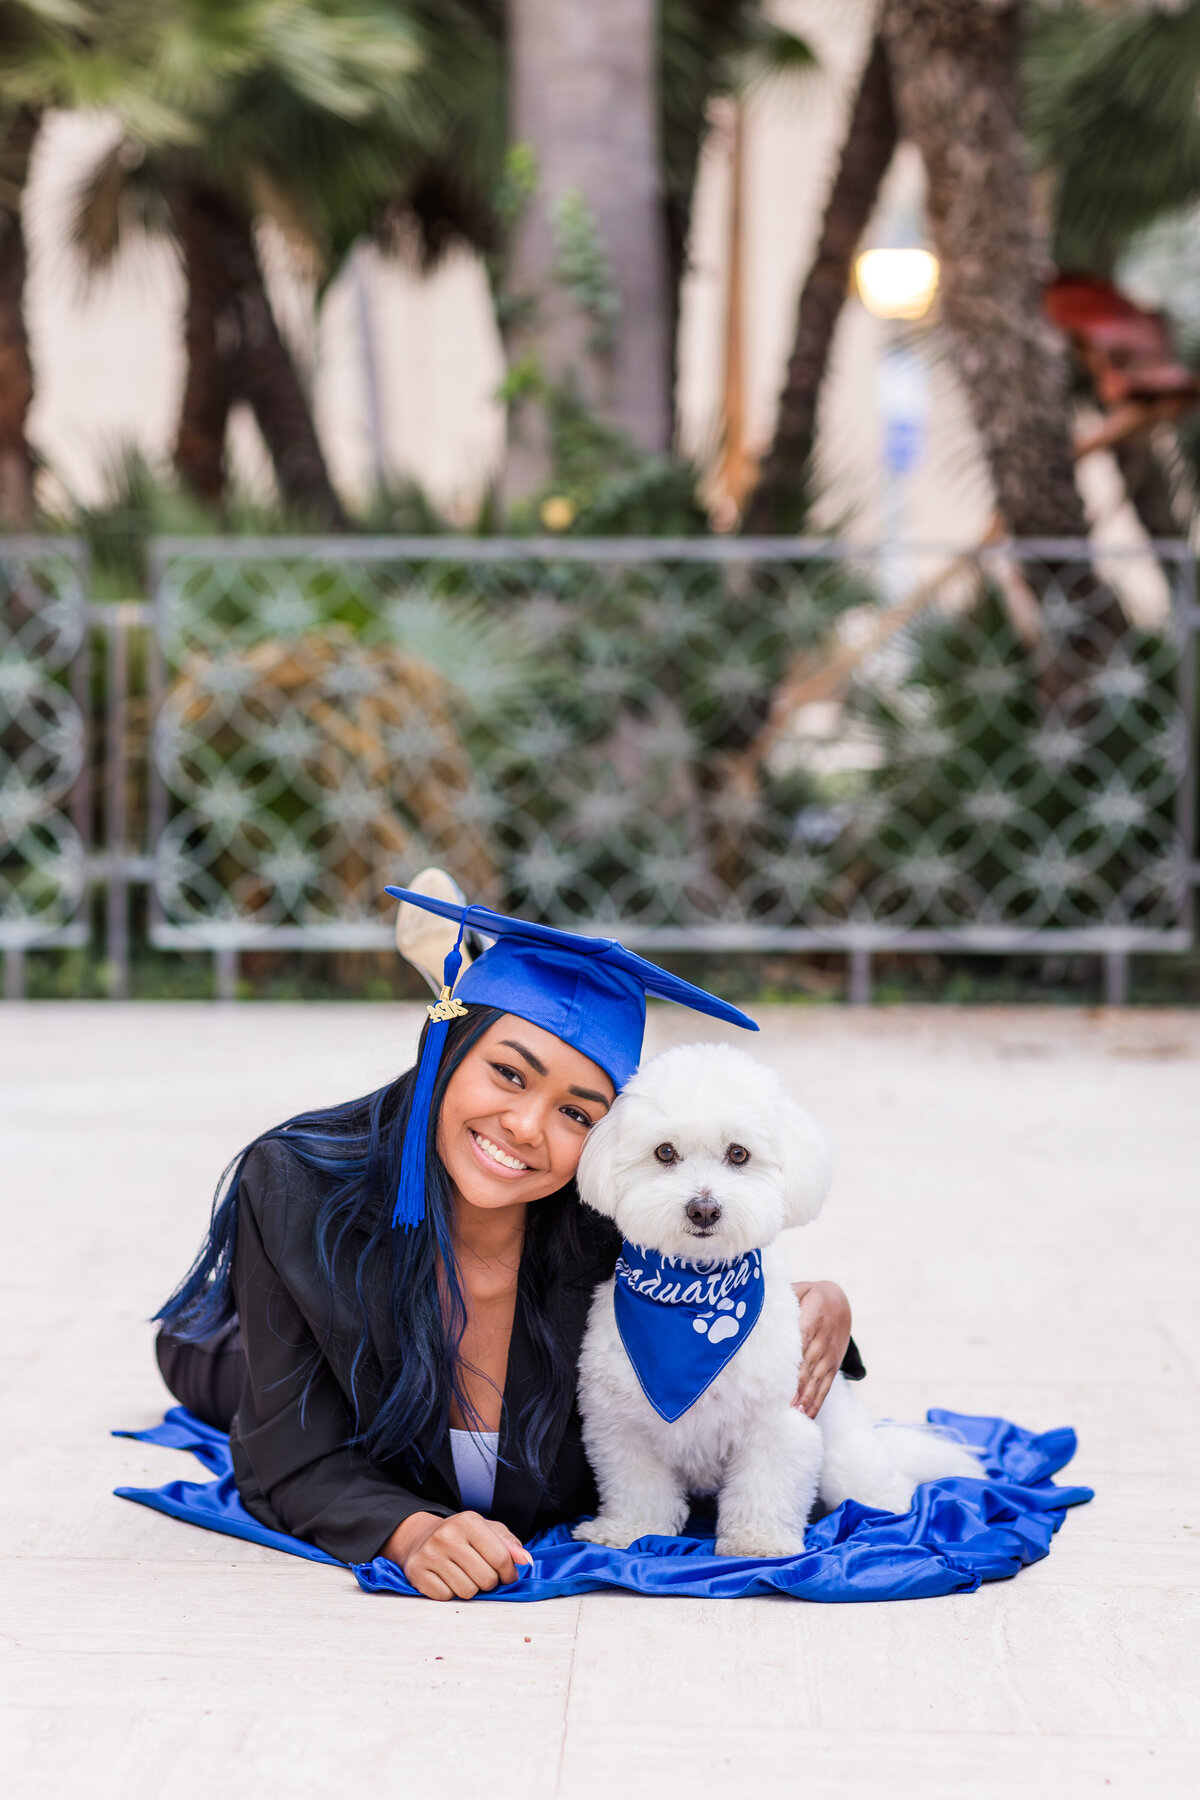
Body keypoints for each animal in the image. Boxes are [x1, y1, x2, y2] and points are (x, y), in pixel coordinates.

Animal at [575, 1044, 985, 1562]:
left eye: (738, 1154)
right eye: (664, 1152)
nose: (704, 1209)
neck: (694, 1292)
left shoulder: (775, 1422)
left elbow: (764, 1486)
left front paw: (758, 1541)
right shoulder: (622, 1426)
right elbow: (637, 1488)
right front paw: (628, 1530)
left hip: (845, 1459)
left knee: (879, 1484)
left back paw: (888, 1508)